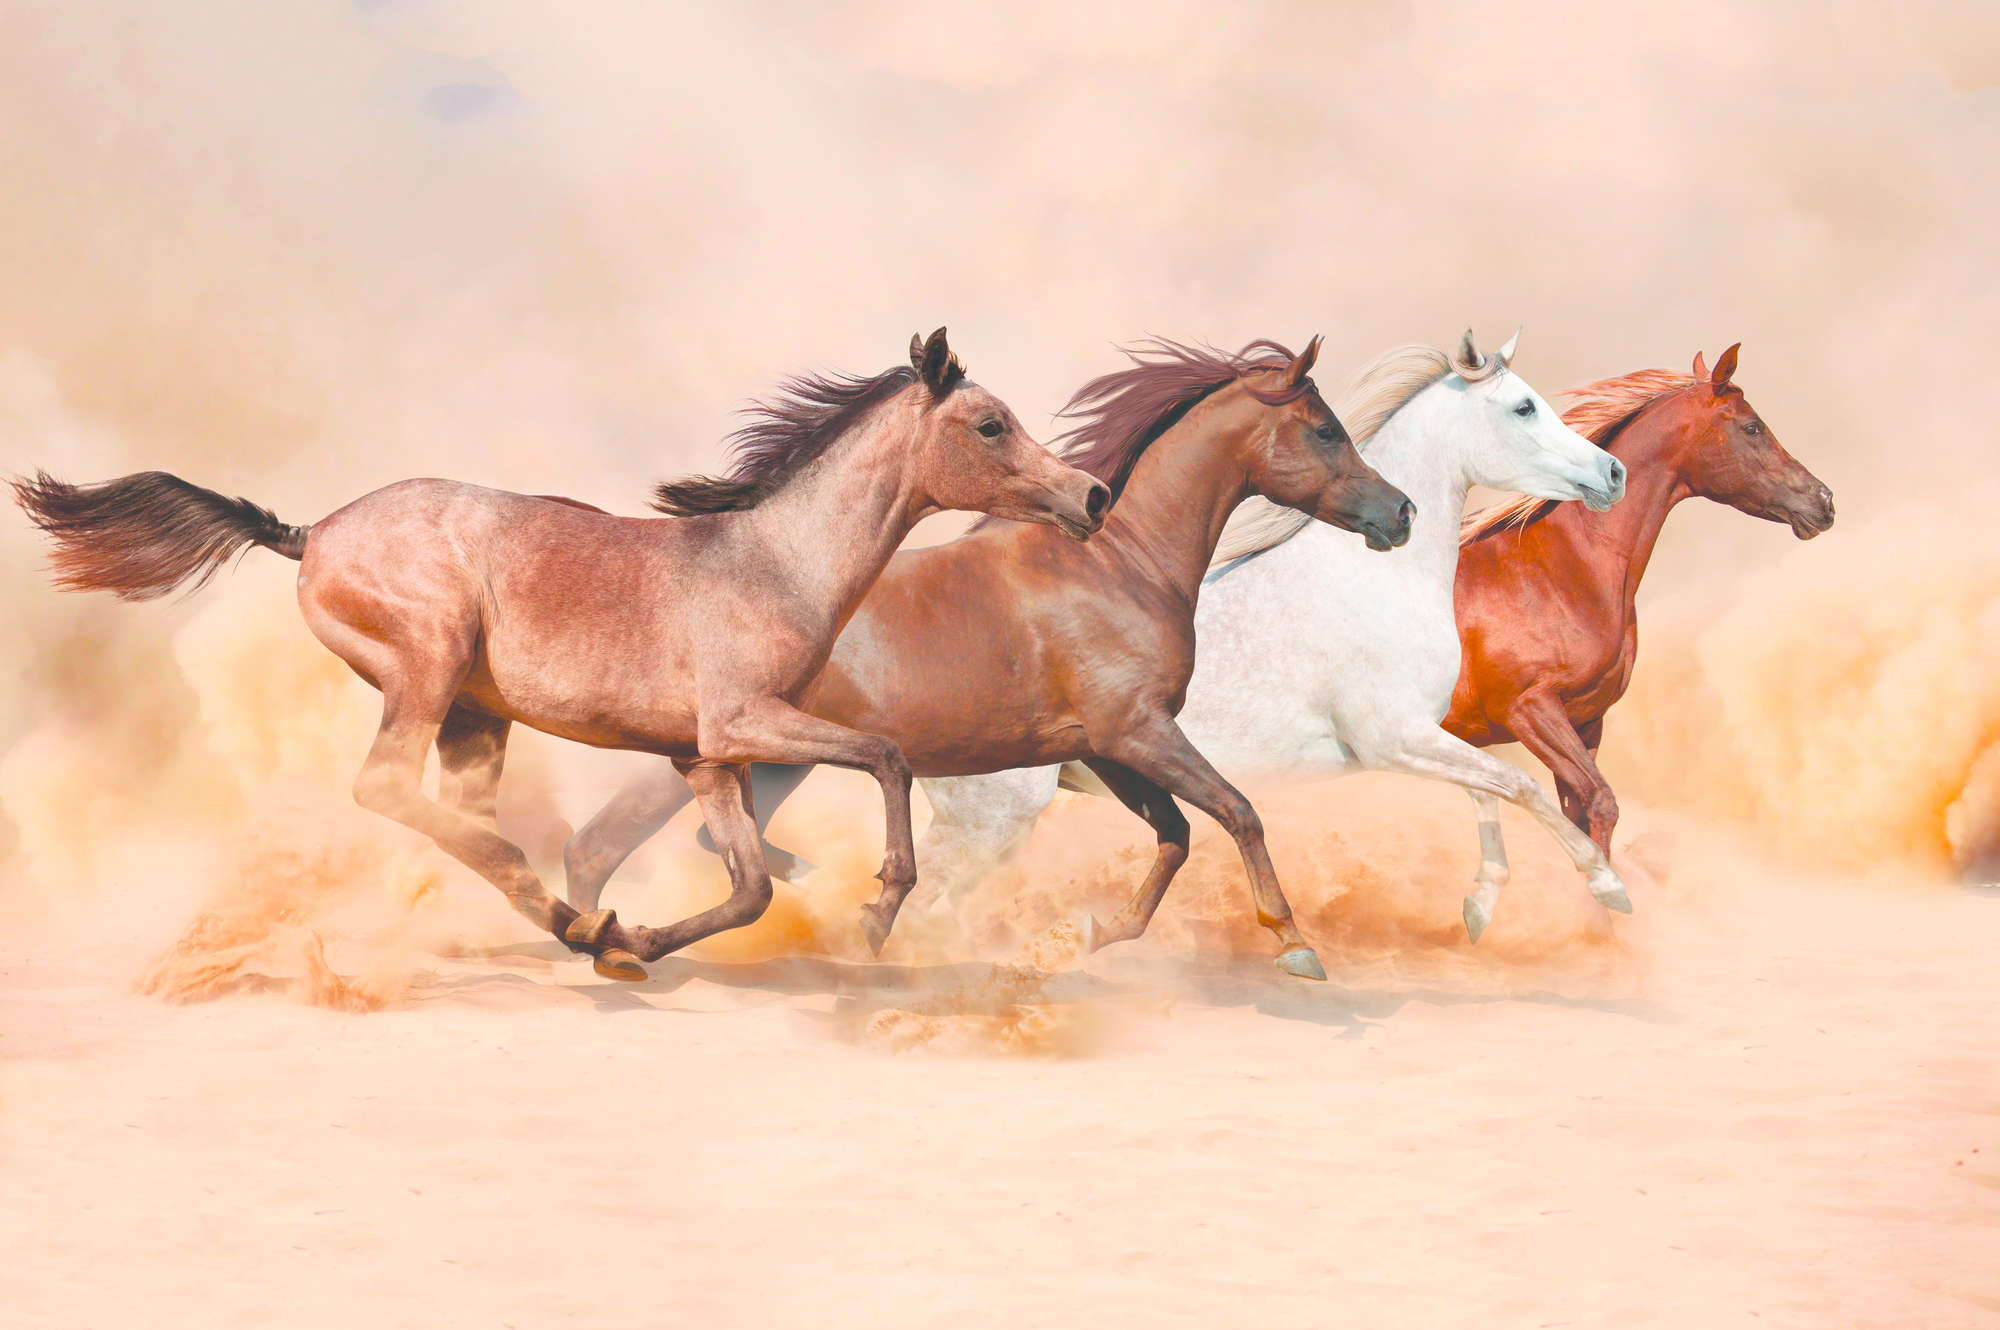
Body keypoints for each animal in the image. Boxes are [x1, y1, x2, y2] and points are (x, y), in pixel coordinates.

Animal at [12, 328, 1110, 982]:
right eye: (990, 424)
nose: (1092, 496)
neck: (772, 560)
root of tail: (312, 532)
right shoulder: (746, 723)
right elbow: (885, 757)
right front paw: (879, 911)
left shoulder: (705, 756)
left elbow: (749, 888)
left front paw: (633, 943)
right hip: (430, 665)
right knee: (387, 789)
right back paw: (563, 914)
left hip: (474, 716)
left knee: (454, 813)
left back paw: (575, 924)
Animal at [559, 336, 1417, 979]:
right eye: (1327, 429)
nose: (1400, 511)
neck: (1120, 565)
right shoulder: (1139, 733)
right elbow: (1238, 812)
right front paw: (1295, 945)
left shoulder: (1105, 748)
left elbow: (1175, 835)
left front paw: (1095, 934)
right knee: (599, 847)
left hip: (770, 761)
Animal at [1449, 343, 1833, 934]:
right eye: (1752, 427)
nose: (1824, 501)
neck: (1560, 570)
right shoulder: (1530, 710)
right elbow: (1601, 803)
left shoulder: (1585, 721)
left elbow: (1585, 817)